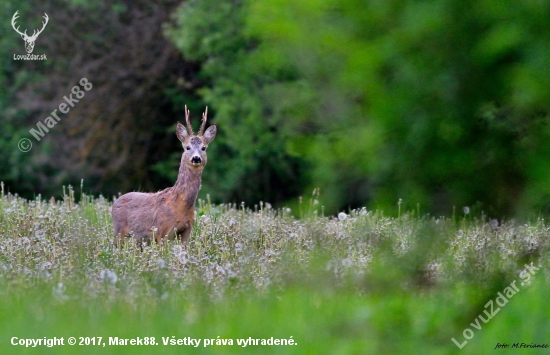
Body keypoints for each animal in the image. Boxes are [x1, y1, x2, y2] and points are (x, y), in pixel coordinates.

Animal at [112, 106, 218, 248]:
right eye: (187, 147)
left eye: (204, 148)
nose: (196, 158)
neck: (181, 205)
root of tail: (114, 203)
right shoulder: (162, 230)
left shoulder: (187, 229)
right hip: (119, 231)